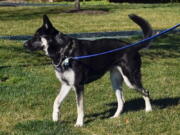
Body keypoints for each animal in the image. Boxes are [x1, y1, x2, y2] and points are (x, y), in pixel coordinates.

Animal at [23, 14, 153, 127]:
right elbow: (56, 102)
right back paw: (115, 117)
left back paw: (148, 110)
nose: (24, 45)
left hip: (131, 79)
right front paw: (55, 118)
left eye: (37, 36)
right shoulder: (66, 85)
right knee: (121, 100)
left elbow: (79, 108)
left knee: (145, 92)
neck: (64, 51)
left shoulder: (78, 86)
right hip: (115, 81)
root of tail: (133, 47)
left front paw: (79, 124)